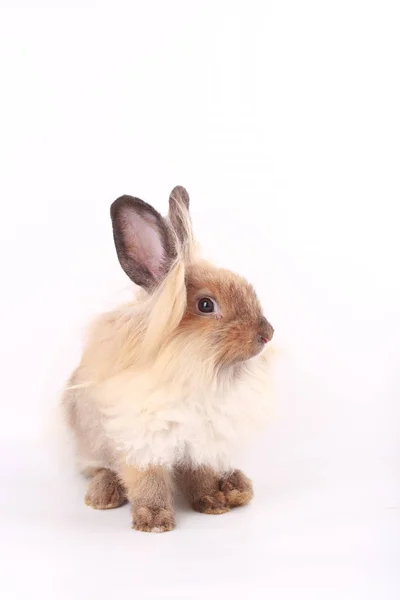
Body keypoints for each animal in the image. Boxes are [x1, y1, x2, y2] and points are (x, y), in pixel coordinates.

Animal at [62, 185, 276, 532]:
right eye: (205, 305)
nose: (267, 334)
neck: (191, 368)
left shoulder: (200, 442)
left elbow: (201, 476)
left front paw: (213, 504)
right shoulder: (140, 441)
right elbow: (148, 482)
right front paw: (154, 521)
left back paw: (236, 487)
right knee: (99, 468)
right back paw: (102, 495)